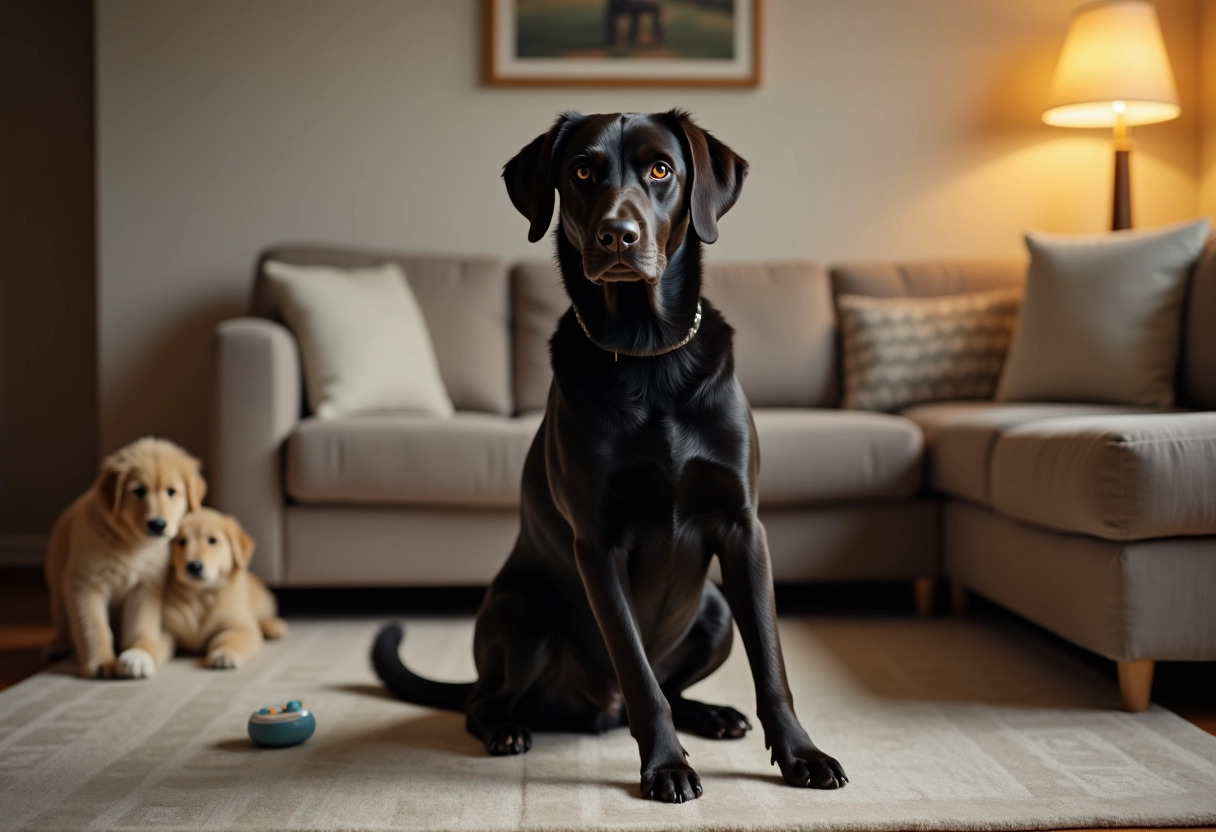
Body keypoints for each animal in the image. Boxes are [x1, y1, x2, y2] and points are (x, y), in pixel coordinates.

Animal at [44, 437, 204, 681]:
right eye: (138, 491)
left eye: (171, 492)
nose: (158, 524)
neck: (132, 545)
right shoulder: (83, 583)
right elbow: (93, 626)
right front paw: (101, 662)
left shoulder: (147, 585)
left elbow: (142, 623)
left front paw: (138, 656)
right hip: (57, 585)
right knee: (61, 619)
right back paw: (58, 644)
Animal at [161, 506, 286, 671]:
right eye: (181, 541)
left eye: (212, 540)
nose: (194, 566)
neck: (200, 596)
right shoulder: (167, 629)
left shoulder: (241, 627)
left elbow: (230, 639)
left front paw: (224, 653)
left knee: (263, 615)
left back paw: (272, 626)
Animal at [374, 108, 851, 797]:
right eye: (581, 171)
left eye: (661, 169)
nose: (618, 236)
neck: (650, 354)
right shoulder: (598, 545)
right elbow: (638, 669)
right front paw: (668, 767)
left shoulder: (743, 528)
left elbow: (771, 664)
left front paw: (801, 755)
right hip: (525, 614)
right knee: (489, 701)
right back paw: (506, 729)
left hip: (712, 609)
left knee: (673, 687)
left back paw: (713, 714)